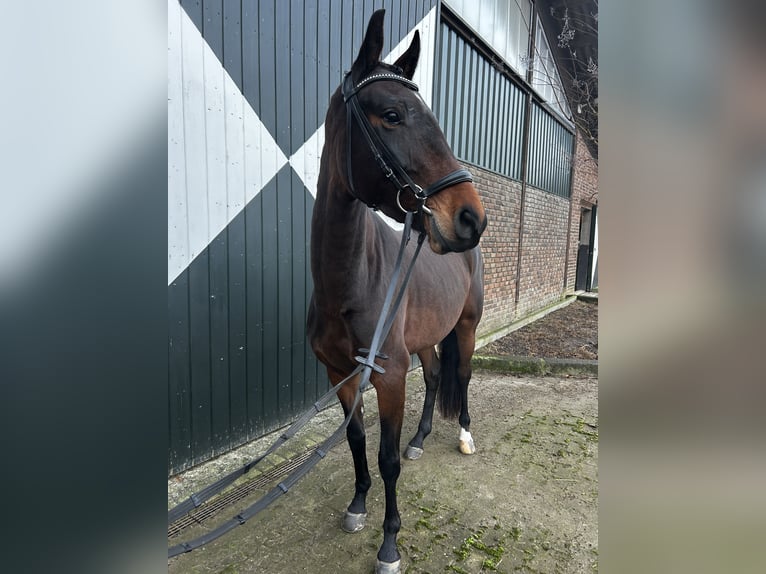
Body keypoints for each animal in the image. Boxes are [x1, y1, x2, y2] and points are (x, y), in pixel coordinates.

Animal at [306, 10, 486, 574]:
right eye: (391, 114)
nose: (470, 218)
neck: (350, 284)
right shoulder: (341, 374)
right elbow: (357, 439)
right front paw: (357, 505)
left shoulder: (386, 377)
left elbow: (385, 459)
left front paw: (389, 543)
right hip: (425, 341)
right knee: (433, 378)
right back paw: (421, 439)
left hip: (466, 327)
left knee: (461, 376)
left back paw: (464, 436)